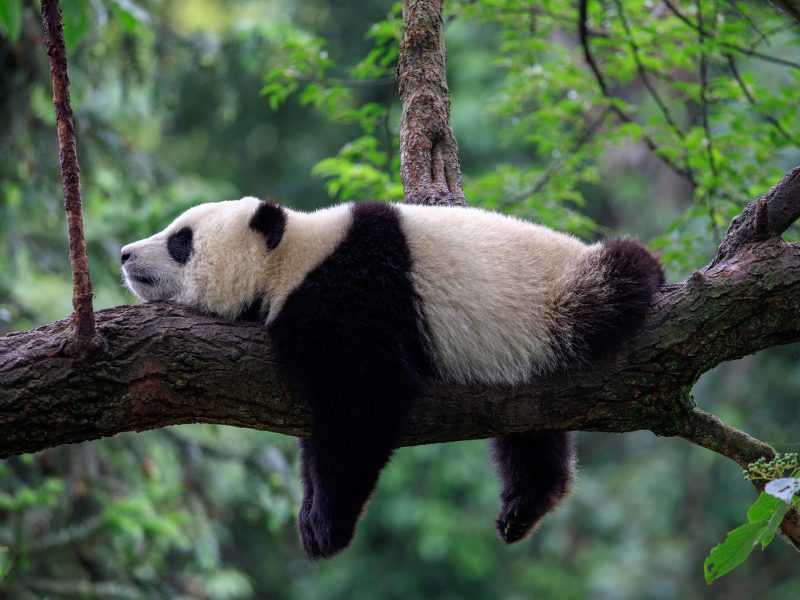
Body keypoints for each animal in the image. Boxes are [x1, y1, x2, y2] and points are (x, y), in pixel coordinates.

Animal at [121, 197, 664, 559]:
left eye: (181, 240)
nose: (125, 254)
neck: (293, 255)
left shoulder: (353, 294)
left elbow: (365, 401)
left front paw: (326, 526)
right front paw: (310, 513)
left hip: (560, 298)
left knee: (621, 276)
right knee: (530, 431)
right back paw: (524, 506)